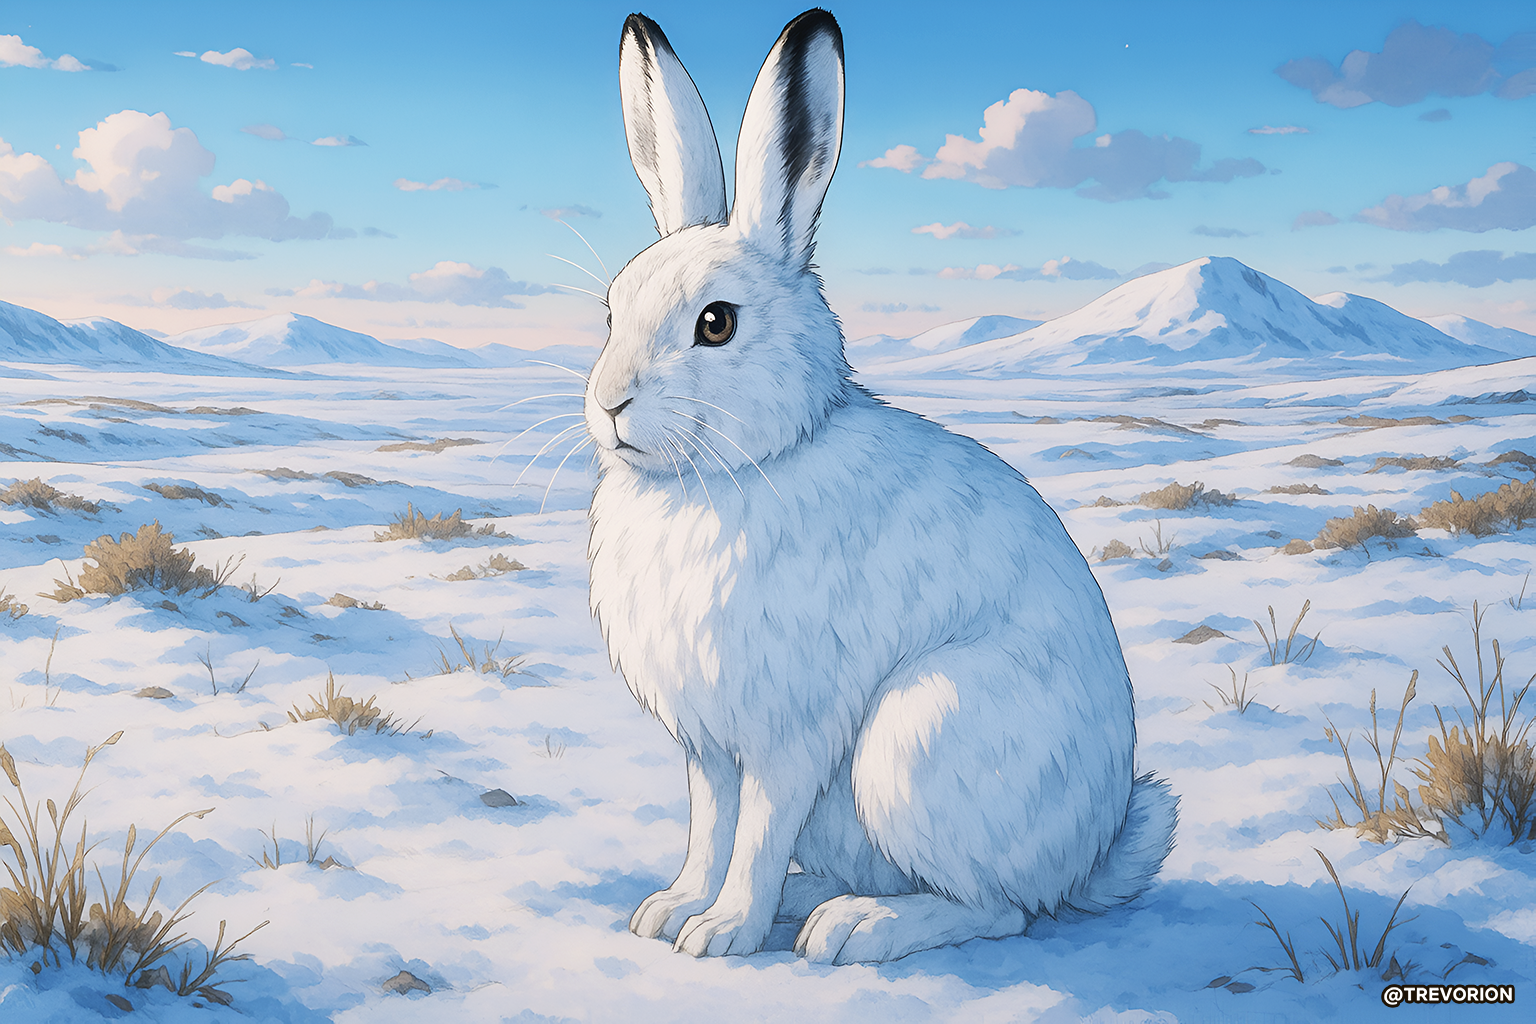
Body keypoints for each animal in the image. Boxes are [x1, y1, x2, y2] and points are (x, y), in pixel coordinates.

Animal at [583, 9, 1177, 965]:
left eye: (716, 323)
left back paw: (852, 927)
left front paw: (722, 932)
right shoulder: (708, 745)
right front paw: (671, 911)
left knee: (1001, 909)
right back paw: (812, 900)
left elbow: (757, 831)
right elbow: (711, 827)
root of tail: (1089, 858)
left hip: (918, 741)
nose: (609, 406)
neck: (741, 468)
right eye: (613, 309)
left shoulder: (789, 732)